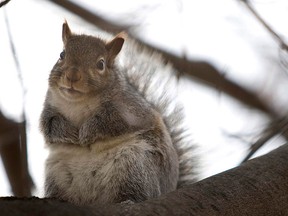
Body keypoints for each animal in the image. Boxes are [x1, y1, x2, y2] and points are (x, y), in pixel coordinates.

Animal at [39, 21, 197, 205]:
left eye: (101, 64)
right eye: (62, 54)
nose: (72, 76)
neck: (78, 102)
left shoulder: (130, 110)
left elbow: (110, 123)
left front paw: (86, 132)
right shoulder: (49, 107)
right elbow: (49, 126)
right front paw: (69, 132)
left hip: (134, 167)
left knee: (136, 193)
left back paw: (127, 201)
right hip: (57, 174)